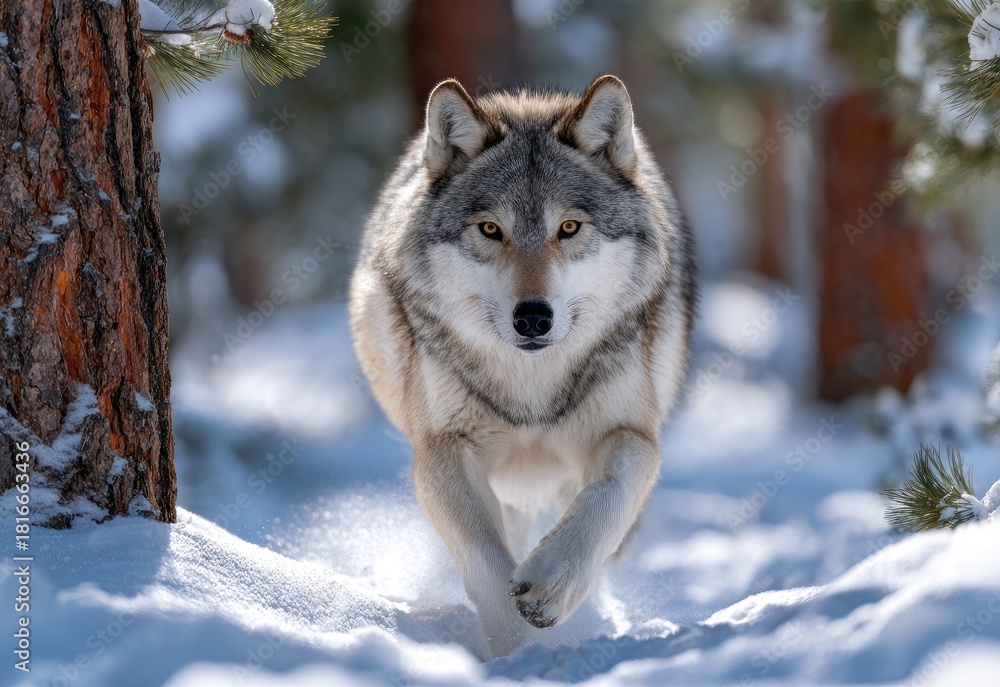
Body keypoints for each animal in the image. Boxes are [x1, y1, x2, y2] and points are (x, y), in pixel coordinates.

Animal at [349, 75, 696, 658]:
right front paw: (518, 653)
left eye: (569, 227)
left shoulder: (629, 434)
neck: (531, 388)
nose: (533, 317)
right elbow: (484, 553)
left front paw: (552, 585)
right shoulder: (443, 448)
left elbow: (610, 493)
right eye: (491, 229)